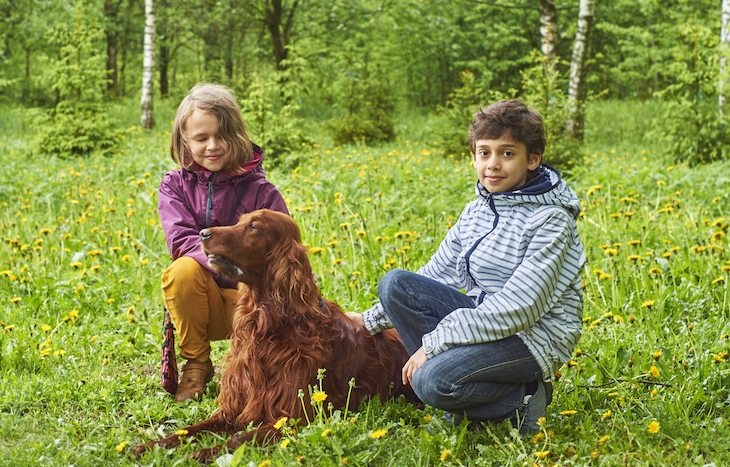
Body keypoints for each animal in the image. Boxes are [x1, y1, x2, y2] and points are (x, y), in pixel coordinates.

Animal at [132, 209, 416, 464]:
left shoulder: (291, 418)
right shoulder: (231, 409)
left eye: (254, 227)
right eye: (240, 220)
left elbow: (238, 439)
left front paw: (201, 453)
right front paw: (149, 446)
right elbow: (188, 430)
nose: (203, 233)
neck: (266, 325)